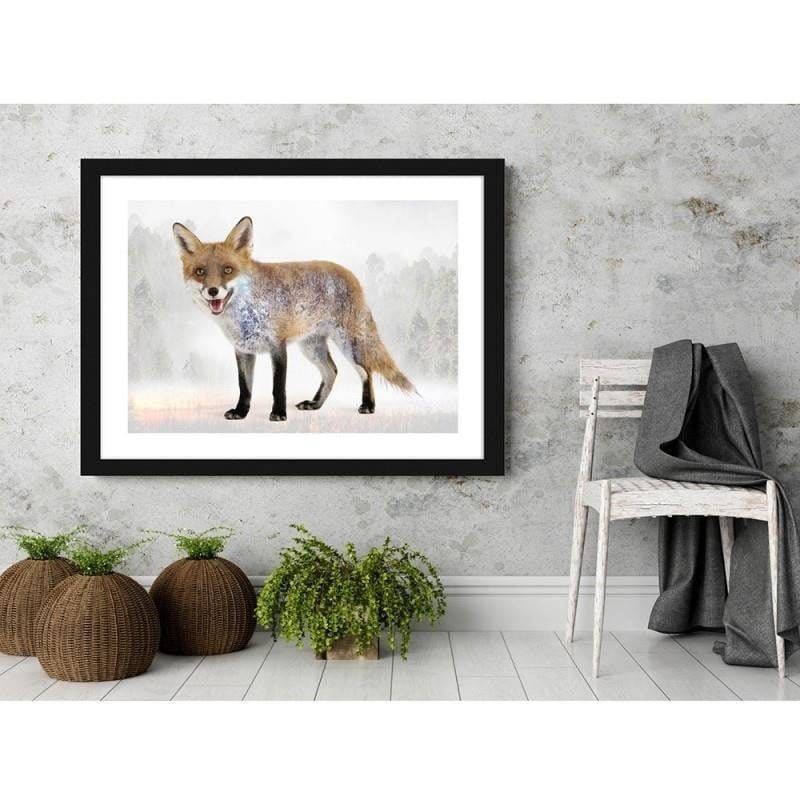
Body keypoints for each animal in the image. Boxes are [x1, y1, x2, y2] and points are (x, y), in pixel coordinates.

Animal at [173, 216, 414, 422]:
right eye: (200, 272)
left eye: (228, 270)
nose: (213, 291)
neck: (246, 314)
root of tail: (350, 273)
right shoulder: (243, 350)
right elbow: (244, 387)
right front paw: (241, 412)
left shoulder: (277, 346)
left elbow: (278, 388)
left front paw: (279, 414)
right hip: (311, 347)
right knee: (332, 371)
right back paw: (315, 404)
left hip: (349, 344)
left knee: (366, 371)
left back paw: (368, 405)